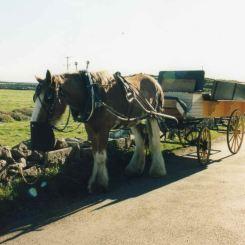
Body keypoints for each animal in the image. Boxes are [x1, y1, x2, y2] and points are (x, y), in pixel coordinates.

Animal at [31, 70, 168, 192]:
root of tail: (153, 80)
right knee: (140, 139)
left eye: (48, 98)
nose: (35, 127)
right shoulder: (91, 129)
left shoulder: (104, 129)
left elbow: (101, 156)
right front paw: (95, 182)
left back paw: (157, 170)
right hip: (134, 119)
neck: (93, 95)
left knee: (154, 141)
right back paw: (134, 168)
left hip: (153, 115)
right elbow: (95, 155)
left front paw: (100, 184)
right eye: (34, 98)